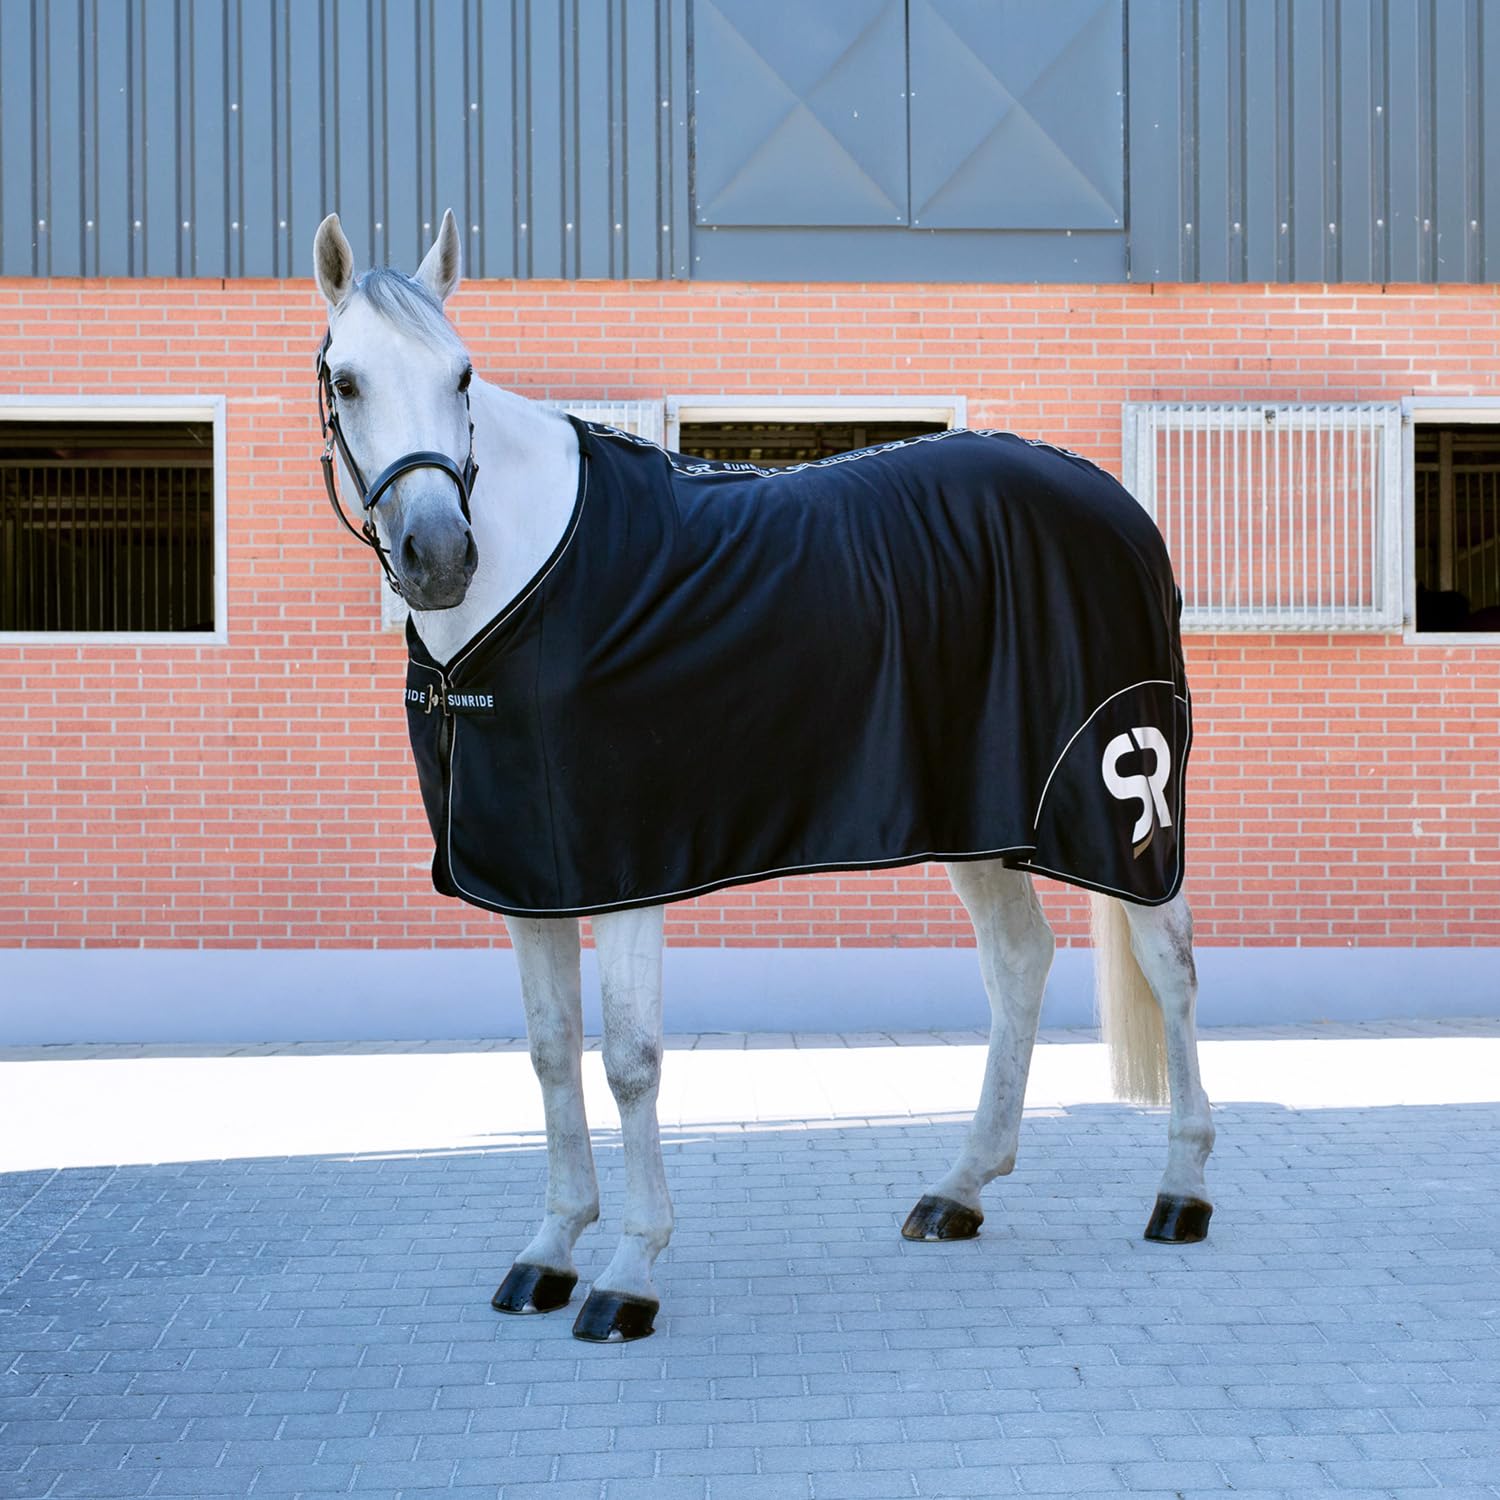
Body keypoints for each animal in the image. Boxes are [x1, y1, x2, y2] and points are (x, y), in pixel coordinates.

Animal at [311, 210, 1215, 1343]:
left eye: (463, 374)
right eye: (348, 381)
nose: (439, 557)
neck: (533, 581)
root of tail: (1119, 510)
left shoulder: (626, 868)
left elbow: (629, 1061)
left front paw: (628, 1274)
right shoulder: (530, 878)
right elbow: (552, 1052)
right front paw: (549, 1251)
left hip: (1123, 801)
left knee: (1169, 964)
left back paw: (1181, 1193)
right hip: (979, 817)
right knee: (1019, 962)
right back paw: (959, 1190)